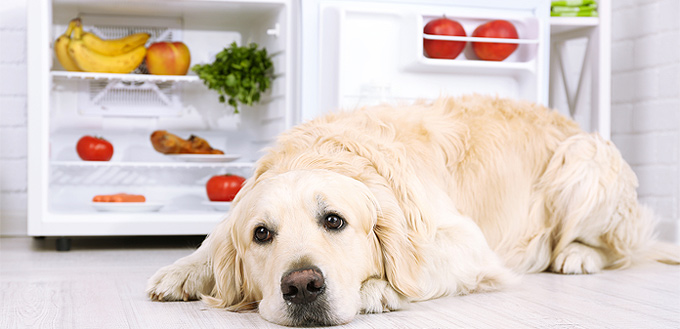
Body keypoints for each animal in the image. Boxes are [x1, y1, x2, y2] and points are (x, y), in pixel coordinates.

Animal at [146, 95, 676, 326]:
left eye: (334, 221)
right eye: (261, 234)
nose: (301, 287)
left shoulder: (467, 244)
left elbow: (414, 271)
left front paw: (376, 289)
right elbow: (213, 239)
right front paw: (183, 270)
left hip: (583, 162)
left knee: (616, 248)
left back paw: (578, 255)